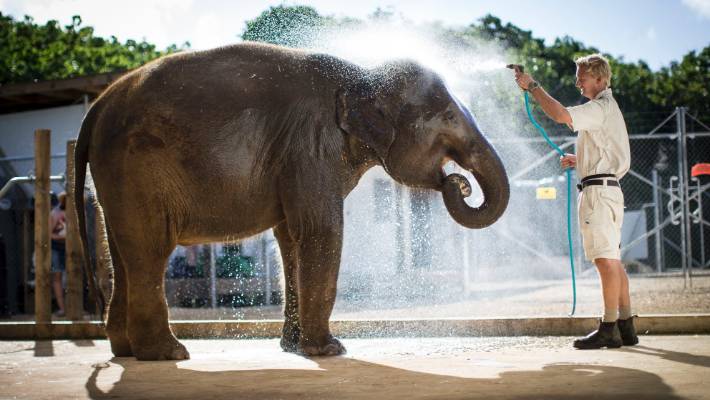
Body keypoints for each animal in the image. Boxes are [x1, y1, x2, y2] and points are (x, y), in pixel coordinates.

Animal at [73, 42, 512, 360]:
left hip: (115, 178)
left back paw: (124, 351)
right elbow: (321, 230)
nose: (459, 183)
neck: (362, 75)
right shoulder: (310, 146)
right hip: (135, 168)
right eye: (449, 119)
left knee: (122, 254)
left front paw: (294, 349)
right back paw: (168, 355)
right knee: (150, 250)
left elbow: (290, 238)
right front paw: (330, 351)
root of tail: (96, 106)